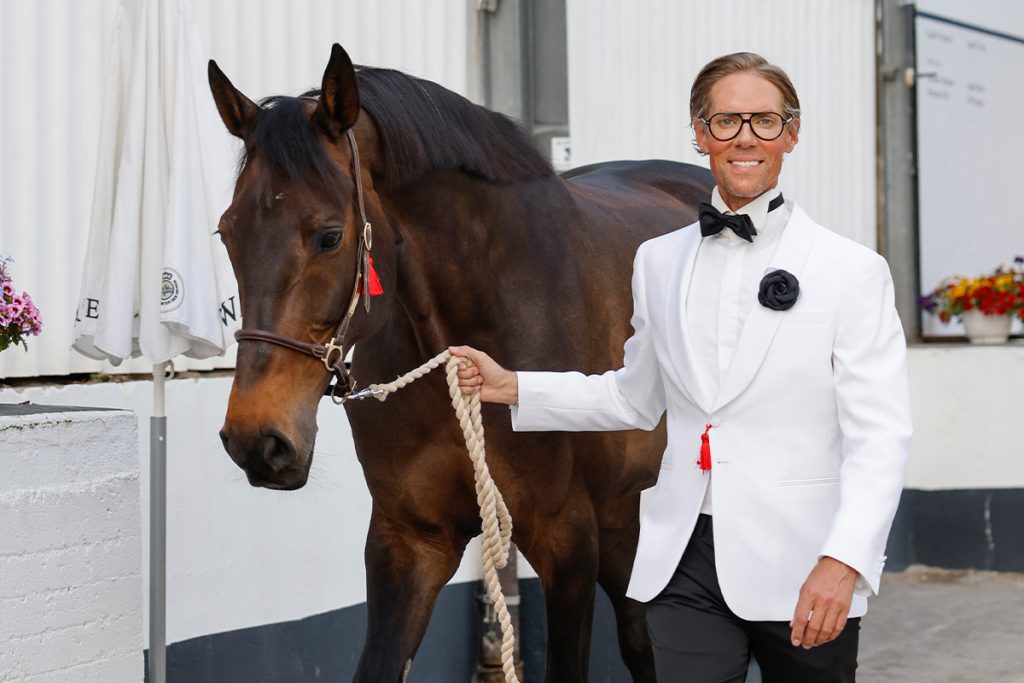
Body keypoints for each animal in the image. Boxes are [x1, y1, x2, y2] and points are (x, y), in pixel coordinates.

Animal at [210, 43, 713, 682]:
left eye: (328, 236)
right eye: (226, 233)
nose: (256, 439)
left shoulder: (568, 541)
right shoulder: (409, 540)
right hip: (627, 514)